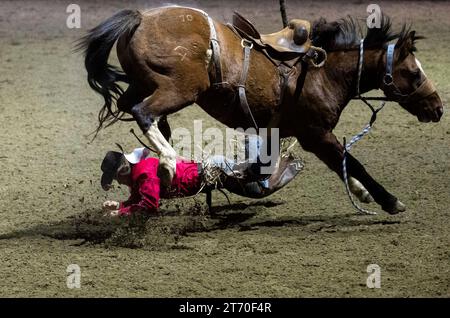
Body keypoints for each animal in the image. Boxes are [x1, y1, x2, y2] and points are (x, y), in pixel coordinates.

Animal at [77, 5, 442, 214]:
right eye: (414, 73)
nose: (438, 108)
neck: (324, 73)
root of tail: (140, 18)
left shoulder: (287, 133)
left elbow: (336, 165)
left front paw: (362, 194)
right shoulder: (316, 133)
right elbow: (352, 162)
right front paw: (389, 201)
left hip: (146, 84)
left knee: (131, 107)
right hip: (183, 88)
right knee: (144, 112)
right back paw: (168, 162)